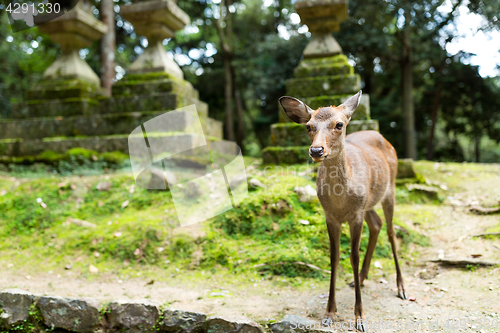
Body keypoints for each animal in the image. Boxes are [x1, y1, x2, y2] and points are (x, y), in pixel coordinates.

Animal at [280, 89, 404, 330]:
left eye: (339, 124)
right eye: (308, 126)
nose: (316, 150)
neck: (340, 201)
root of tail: (382, 137)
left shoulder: (356, 216)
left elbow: (353, 257)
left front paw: (360, 318)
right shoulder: (330, 216)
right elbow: (334, 258)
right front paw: (329, 313)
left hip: (390, 189)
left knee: (392, 232)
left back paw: (401, 288)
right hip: (368, 202)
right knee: (377, 225)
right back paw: (360, 280)